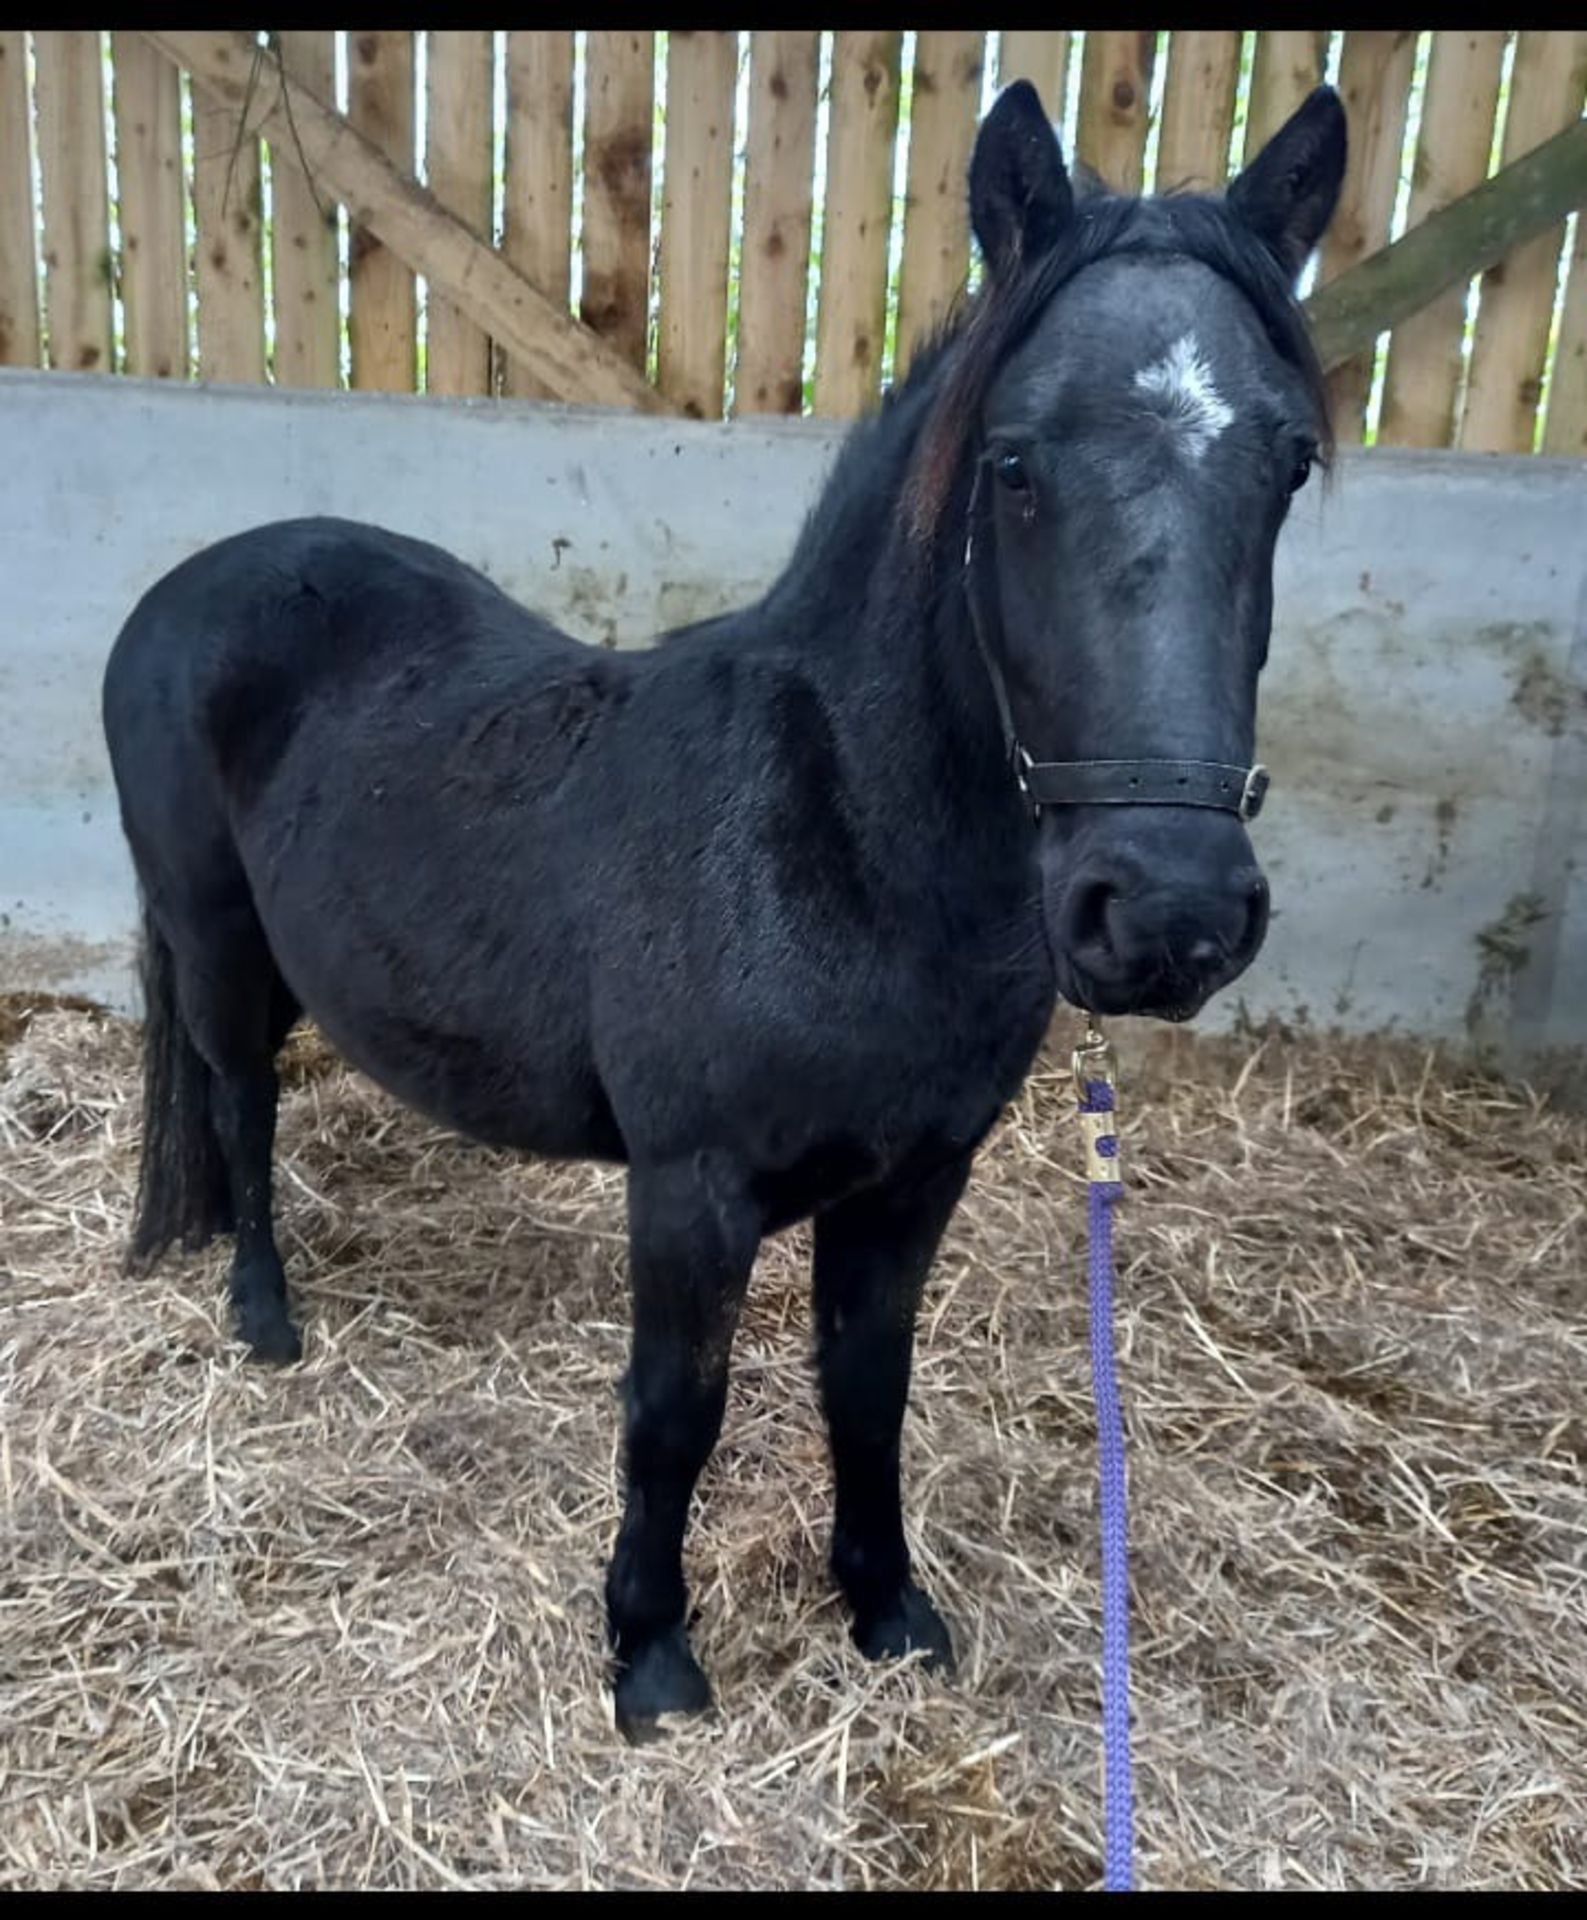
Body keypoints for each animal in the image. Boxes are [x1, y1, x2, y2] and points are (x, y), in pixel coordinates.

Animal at [102, 86, 1343, 1743]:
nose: (1162, 910)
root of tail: (189, 587)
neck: (839, 840)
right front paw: (649, 1654)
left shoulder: (912, 1184)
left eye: (1286, 463)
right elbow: (672, 1415)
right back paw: (261, 1316)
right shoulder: (687, 1192)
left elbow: (864, 1390)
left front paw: (885, 1610)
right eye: (1012, 464)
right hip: (218, 939)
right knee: (239, 1103)